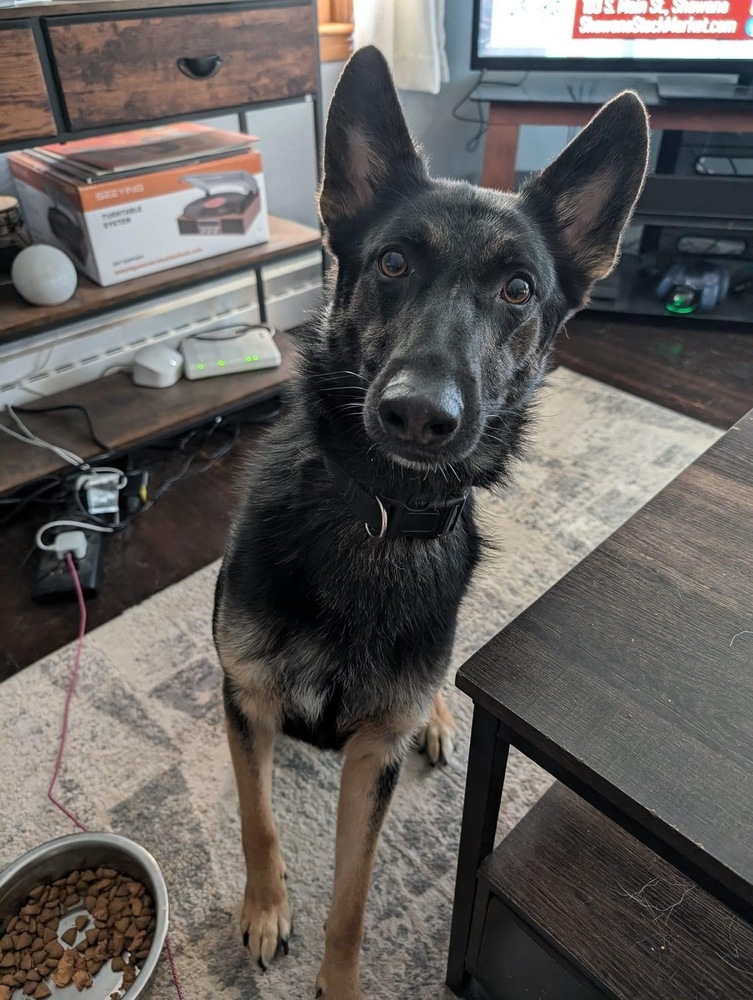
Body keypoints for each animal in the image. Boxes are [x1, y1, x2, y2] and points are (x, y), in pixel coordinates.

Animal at [212, 43, 648, 996]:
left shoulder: (371, 756)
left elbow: (352, 900)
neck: (376, 513)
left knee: (438, 676)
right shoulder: (247, 700)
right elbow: (257, 820)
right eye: (392, 265)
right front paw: (264, 908)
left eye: (518, 289)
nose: (418, 415)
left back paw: (442, 715)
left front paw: (338, 982)